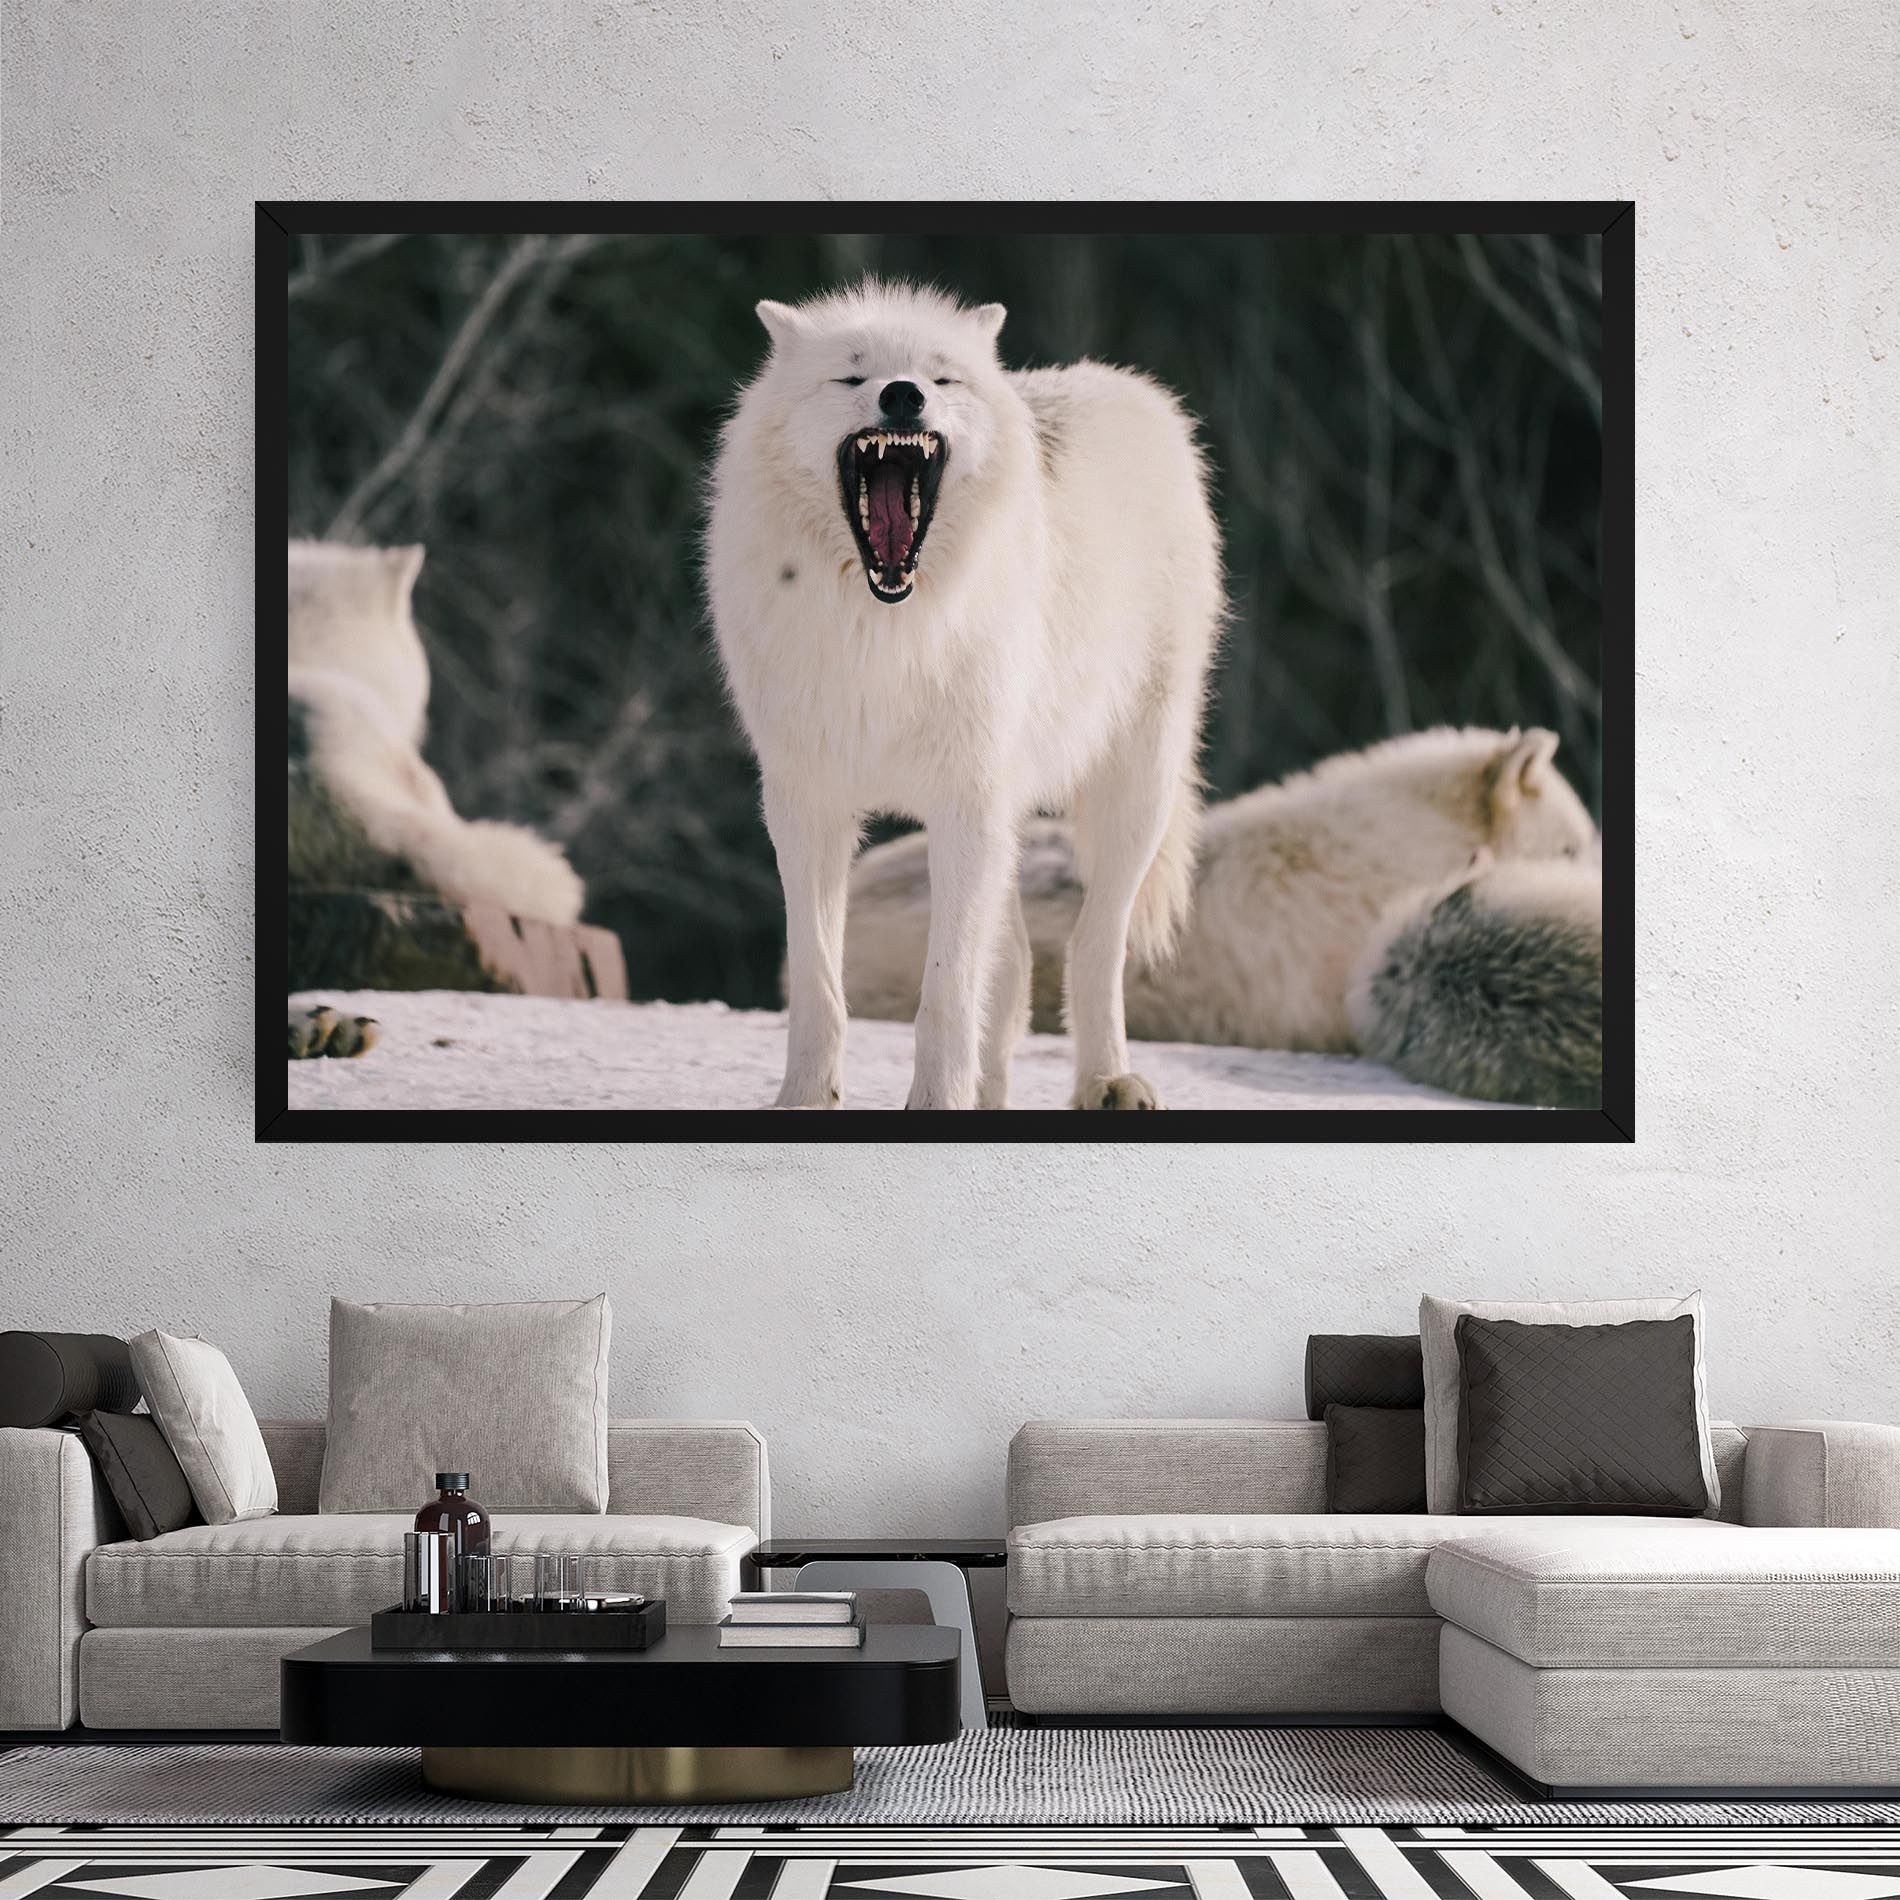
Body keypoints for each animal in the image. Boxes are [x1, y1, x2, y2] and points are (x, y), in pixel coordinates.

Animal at [707, 282, 1221, 1110]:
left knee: (1094, 944)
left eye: (941, 378)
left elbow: (945, 993)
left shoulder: (964, 804)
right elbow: (819, 983)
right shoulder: (805, 805)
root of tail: (1131, 388)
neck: (885, 631)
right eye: (853, 376)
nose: (903, 395)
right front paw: (805, 1099)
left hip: (1133, 791)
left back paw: (1108, 1078)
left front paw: (936, 1101)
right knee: (1013, 973)